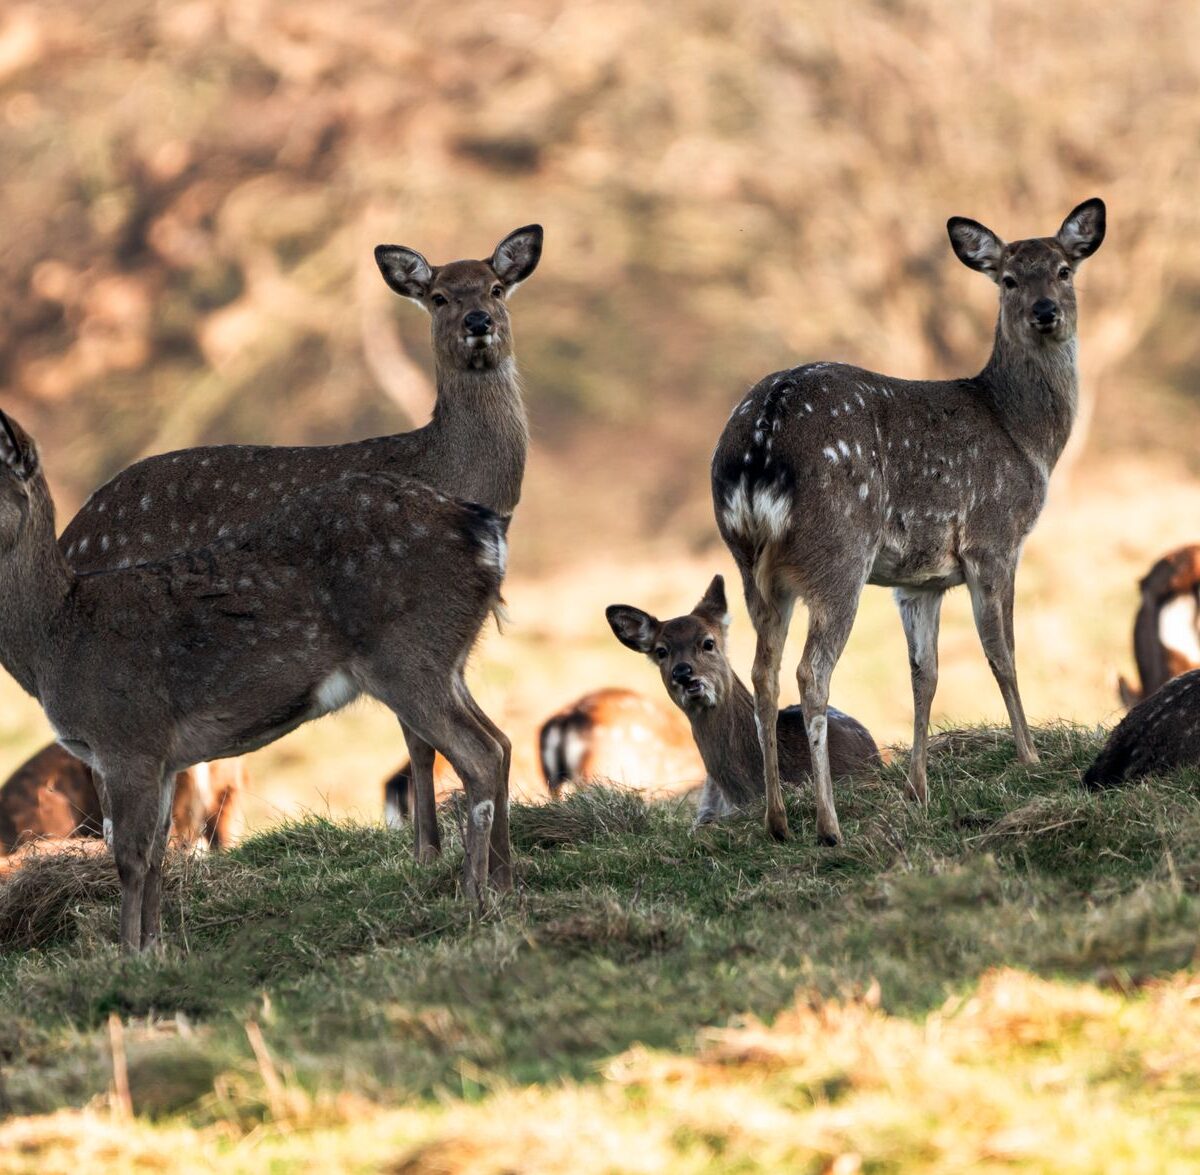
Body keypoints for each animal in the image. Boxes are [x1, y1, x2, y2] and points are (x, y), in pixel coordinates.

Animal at [56, 225, 542, 866]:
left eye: (495, 287)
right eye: (439, 296)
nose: (479, 321)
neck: (446, 471)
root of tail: (71, 539)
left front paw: (436, 852)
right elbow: (417, 737)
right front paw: (425, 853)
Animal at [710, 199, 1106, 843]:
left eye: (1064, 270)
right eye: (1008, 279)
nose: (1046, 312)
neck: (1024, 437)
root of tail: (760, 442)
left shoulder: (918, 581)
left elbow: (925, 673)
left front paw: (918, 789)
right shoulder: (994, 538)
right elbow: (1002, 651)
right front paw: (1030, 756)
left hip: (752, 567)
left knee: (763, 672)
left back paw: (778, 820)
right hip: (839, 551)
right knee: (810, 673)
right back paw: (828, 824)